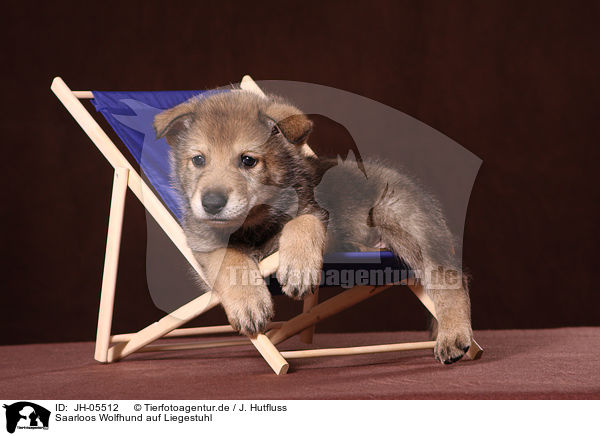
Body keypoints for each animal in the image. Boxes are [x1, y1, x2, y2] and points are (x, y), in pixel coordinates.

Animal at [154, 89, 474, 364]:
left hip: (404, 220)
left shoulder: (319, 217)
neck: (254, 224)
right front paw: (248, 302)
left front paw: (298, 267)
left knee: (450, 279)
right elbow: (229, 258)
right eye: (198, 159)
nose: (211, 203)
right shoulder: (204, 244)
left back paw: (453, 335)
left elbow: (302, 223)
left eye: (248, 160)